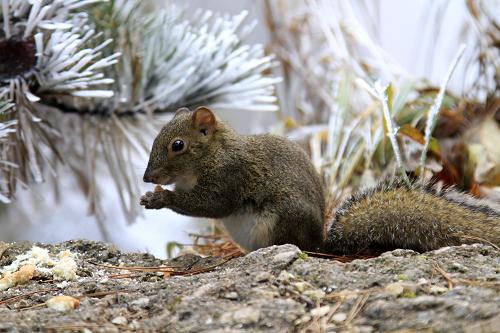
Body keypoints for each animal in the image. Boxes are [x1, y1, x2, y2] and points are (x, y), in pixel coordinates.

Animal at [140, 106, 500, 254]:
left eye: (177, 145)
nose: (146, 178)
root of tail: (320, 242)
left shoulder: (229, 175)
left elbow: (211, 205)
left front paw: (161, 198)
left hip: (281, 221)